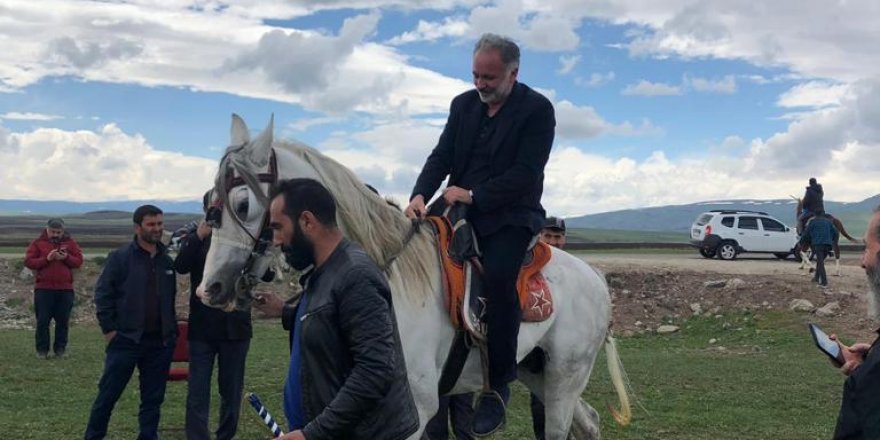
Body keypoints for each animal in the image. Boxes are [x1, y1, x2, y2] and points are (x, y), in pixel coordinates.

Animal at [195, 115, 632, 438]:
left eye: (243, 203)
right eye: (210, 202)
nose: (209, 288)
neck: (386, 272)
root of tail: (595, 277)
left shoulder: (417, 406)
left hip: (564, 377)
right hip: (536, 370)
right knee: (589, 422)